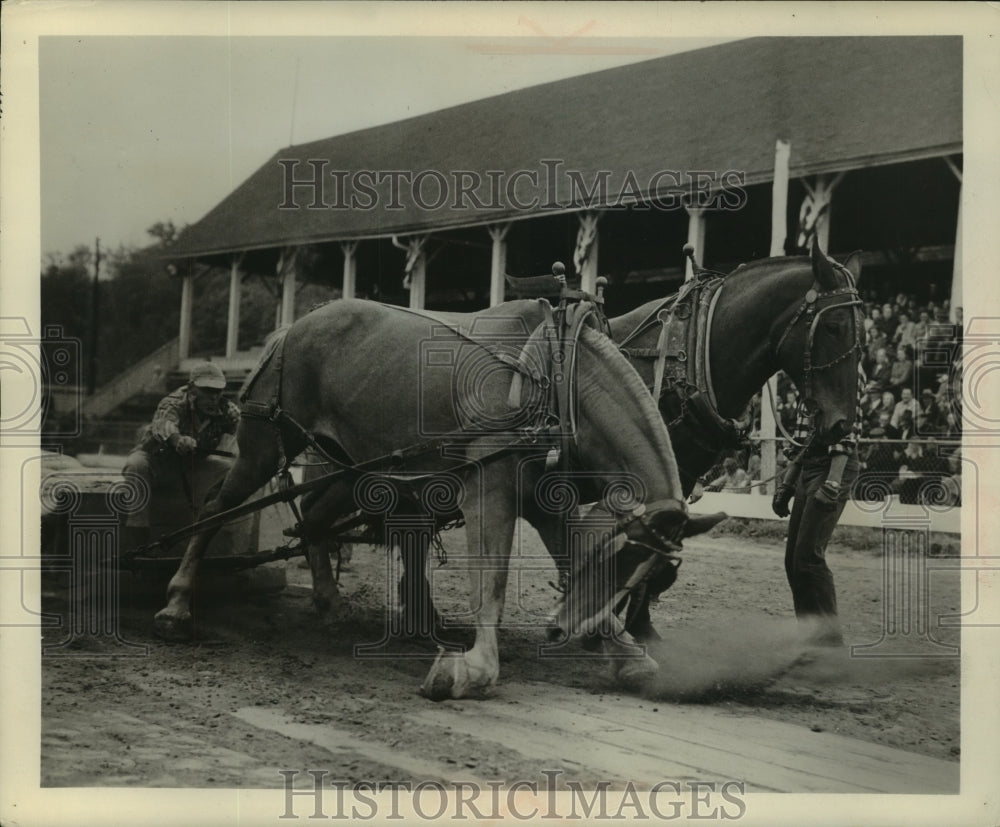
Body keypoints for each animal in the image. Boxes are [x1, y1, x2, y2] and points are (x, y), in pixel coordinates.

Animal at [150, 298, 724, 700]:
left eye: (644, 571)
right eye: (623, 558)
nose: (564, 629)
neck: (558, 379)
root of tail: (291, 328)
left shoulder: (545, 500)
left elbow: (570, 555)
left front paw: (623, 650)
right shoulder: (489, 487)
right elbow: (492, 579)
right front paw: (472, 668)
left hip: (350, 467)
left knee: (311, 519)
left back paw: (330, 601)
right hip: (266, 445)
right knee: (216, 509)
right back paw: (176, 603)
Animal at [389, 243, 864, 641]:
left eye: (863, 335)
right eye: (834, 326)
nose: (842, 425)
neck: (686, 357)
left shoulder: (673, 480)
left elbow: (653, 557)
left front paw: (625, 622)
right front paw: (621, 623)